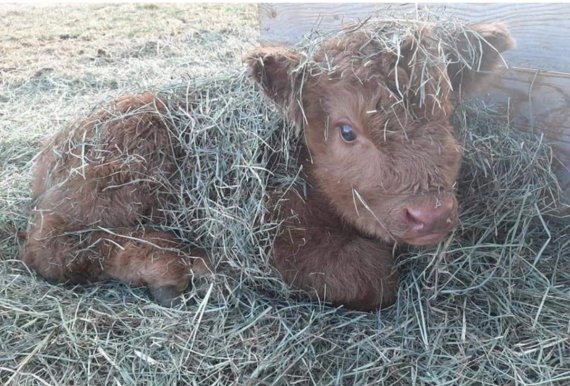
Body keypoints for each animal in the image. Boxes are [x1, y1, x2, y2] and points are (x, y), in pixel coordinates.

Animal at [22, 21, 512, 310]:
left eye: (446, 112)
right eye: (346, 131)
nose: (430, 215)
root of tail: (49, 152)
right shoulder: (270, 242)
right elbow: (372, 275)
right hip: (117, 169)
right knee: (52, 249)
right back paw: (168, 264)